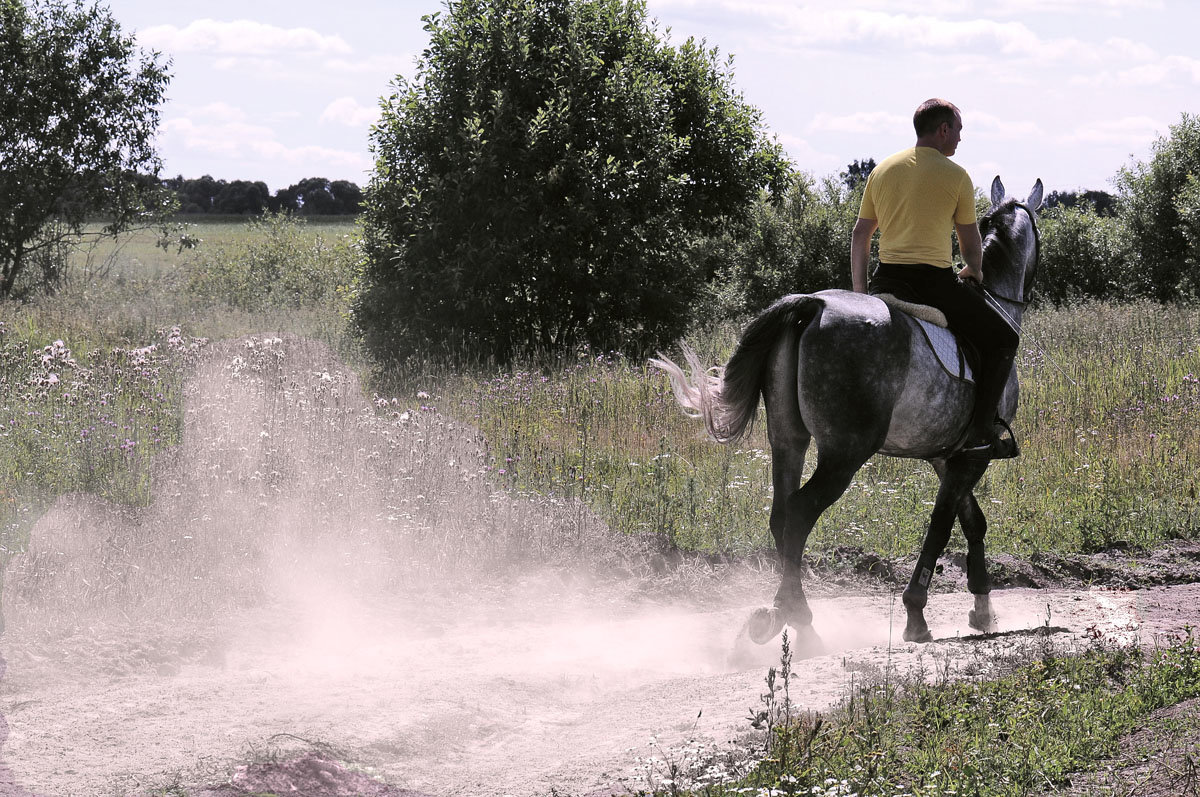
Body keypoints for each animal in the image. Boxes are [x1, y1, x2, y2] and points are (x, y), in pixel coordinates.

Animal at [648, 174, 1041, 648]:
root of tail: (812, 304)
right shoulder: (972, 454)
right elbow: (943, 524)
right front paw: (917, 613)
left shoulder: (947, 455)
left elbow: (972, 521)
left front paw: (982, 608)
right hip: (845, 452)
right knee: (801, 512)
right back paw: (797, 618)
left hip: (788, 439)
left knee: (782, 515)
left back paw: (788, 614)